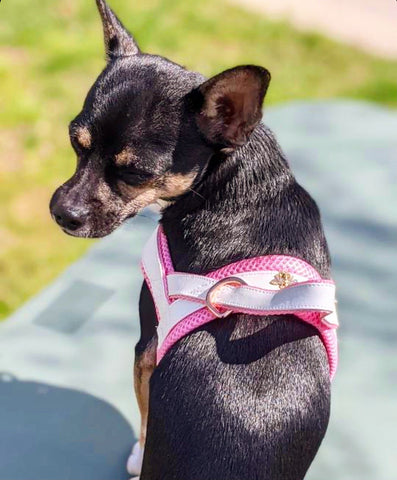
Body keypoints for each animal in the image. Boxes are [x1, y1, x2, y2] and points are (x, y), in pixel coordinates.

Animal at [50, 1, 332, 478]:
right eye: (75, 142)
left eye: (135, 174)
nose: (60, 211)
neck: (229, 188)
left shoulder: (147, 350)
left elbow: (145, 418)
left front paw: (137, 453)